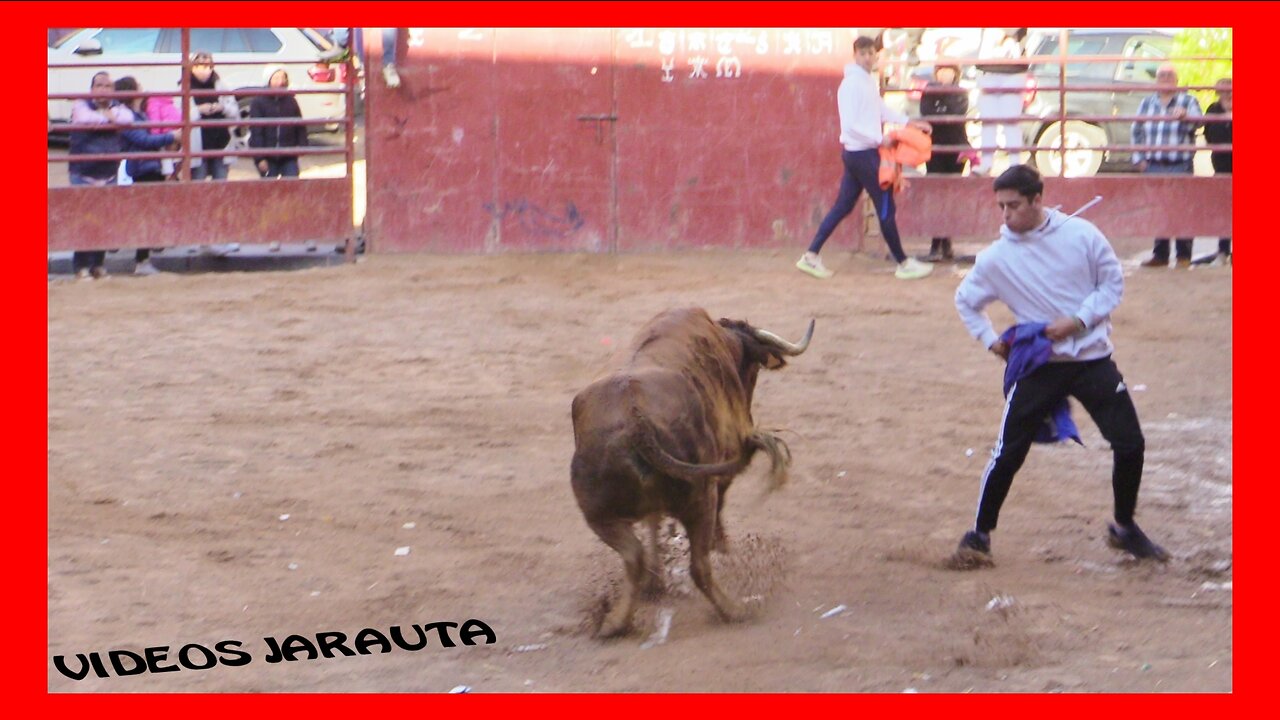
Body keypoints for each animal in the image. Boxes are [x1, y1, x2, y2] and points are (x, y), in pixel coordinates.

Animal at [573, 304, 814, 635]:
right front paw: (721, 546)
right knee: (698, 566)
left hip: (597, 514)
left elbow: (652, 522)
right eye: (752, 371)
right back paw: (734, 610)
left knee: (633, 555)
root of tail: (636, 422)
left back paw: (617, 620)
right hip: (698, 497)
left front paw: (655, 580)